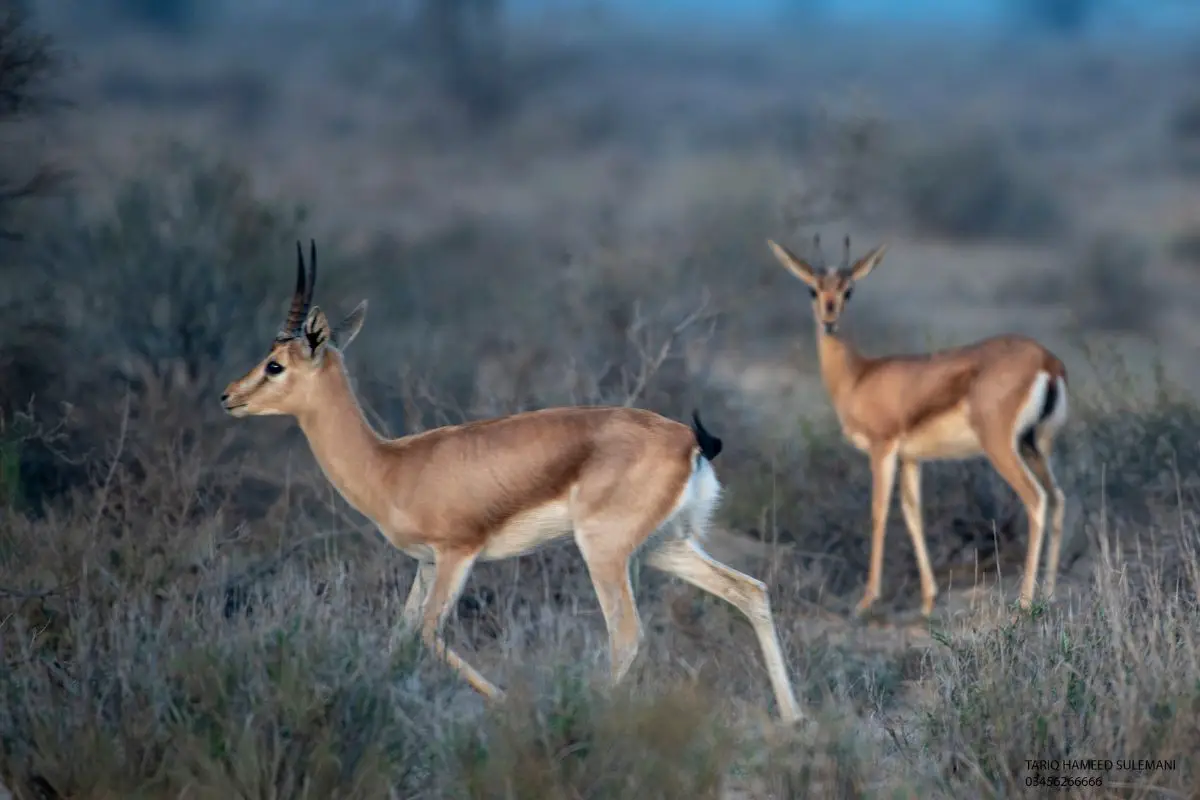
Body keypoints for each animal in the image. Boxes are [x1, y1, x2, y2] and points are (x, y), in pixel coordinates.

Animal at [223, 241, 806, 724]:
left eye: (274, 365)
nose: (229, 396)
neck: (393, 466)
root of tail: (690, 440)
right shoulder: (425, 565)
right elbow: (399, 637)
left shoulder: (457, 555)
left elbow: (429, 633)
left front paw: (504, 702)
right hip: (665, 546)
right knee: (749, 591)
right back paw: (793, 719)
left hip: (604, 551)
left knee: (627, 635)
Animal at [768, 235, 1070, 618]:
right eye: (813, 289)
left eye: (849, 290)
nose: (829, 321)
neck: (859, 377)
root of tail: (1047, 361)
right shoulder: (911, 458)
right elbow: (913, 514)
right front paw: (928, 600)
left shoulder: (882, 448)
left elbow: (879, 513)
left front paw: (866, 600)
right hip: (1036, 446)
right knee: (1058, 498)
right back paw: (1050, 594)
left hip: (1002, 447)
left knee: (1036, 499)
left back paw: (1026, 600)